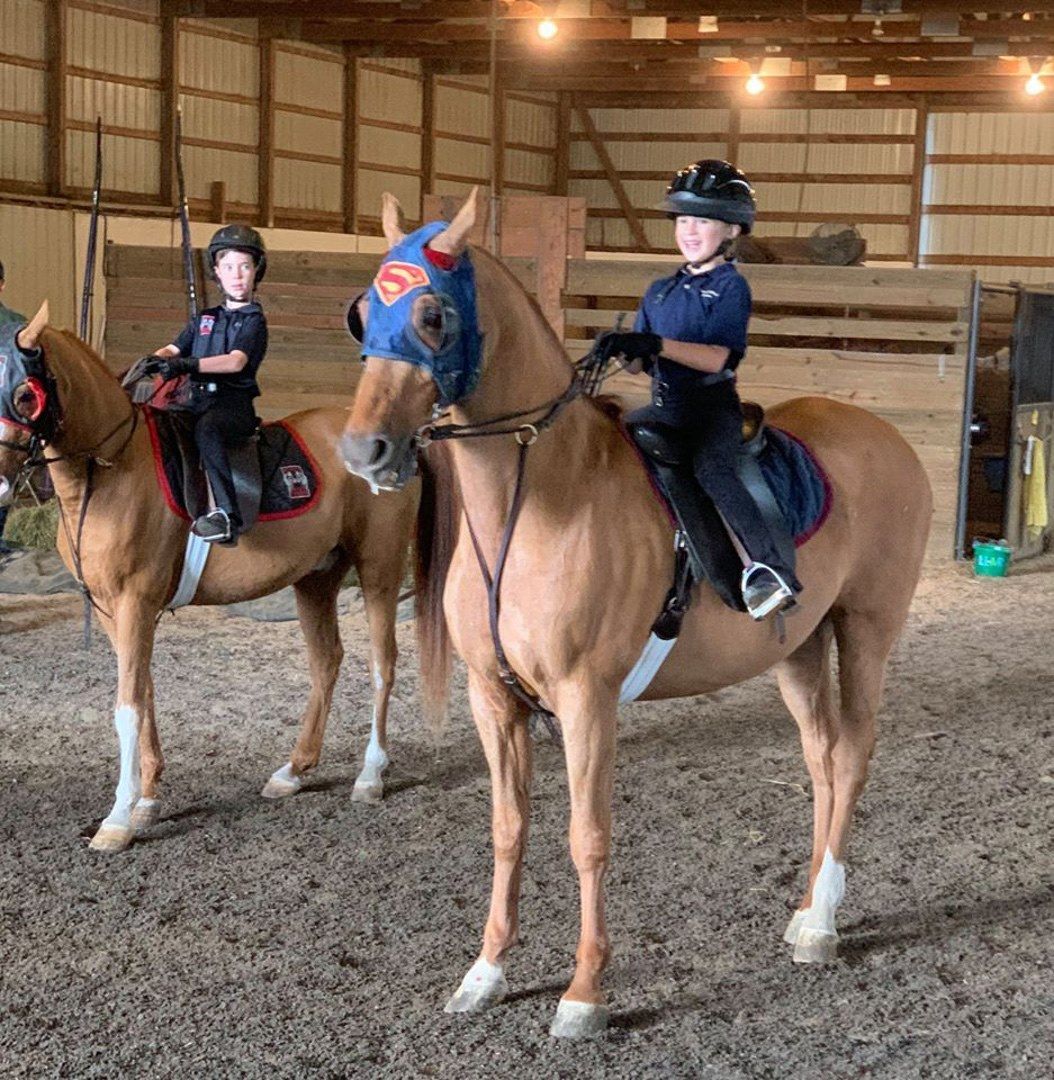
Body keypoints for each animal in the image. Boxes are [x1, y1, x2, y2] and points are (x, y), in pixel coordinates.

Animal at [0, 307, 418, 853]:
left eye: (25, 394)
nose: (0, 479)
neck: (110, 471)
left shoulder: (135, 603)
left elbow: (127, 706)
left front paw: (118, 819)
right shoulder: (115, 611)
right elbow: (145, 693)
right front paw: (148, 801)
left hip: (380, 570)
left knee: (382, 664)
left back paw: (370, 776)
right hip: (316, 579)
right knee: (326, 662)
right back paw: (293, 771)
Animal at [339, 191, 933, 1038]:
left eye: (432, 314)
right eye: (364, 311)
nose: (365, 452)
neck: (540, 502)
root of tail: (891, 440)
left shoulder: (587, 700)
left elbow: (587, 837)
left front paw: (584, 994)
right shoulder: (494, 701)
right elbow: (508, 829)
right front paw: (486, 973)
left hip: (867, 631)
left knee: (851, 756)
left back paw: (821, 926)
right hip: (798, 649)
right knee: (821, 759)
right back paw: (805, 908)